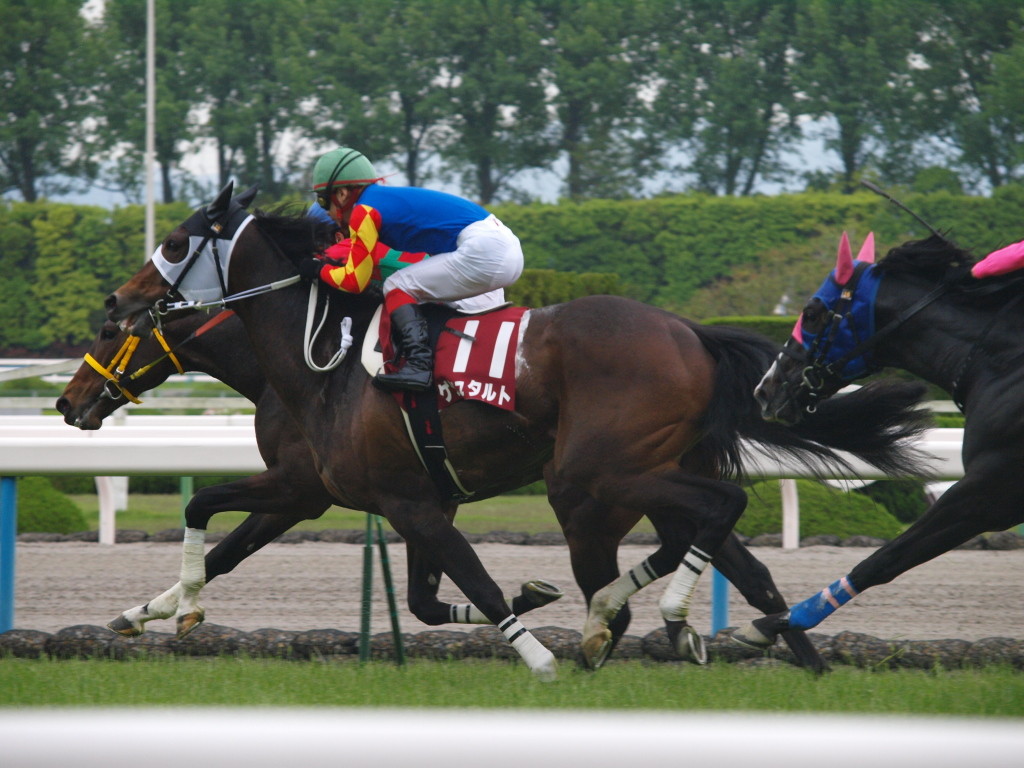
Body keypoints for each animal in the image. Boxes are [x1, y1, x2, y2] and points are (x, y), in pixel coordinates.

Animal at [101, 185, 929, 679]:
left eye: (174, 244)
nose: (116, 303)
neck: (323, 364)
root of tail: (691, 333)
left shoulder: (379, 497)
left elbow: (470, 581)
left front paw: (535, 652)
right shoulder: (396, 496)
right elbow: (426, 597)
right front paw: (150, 612)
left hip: (592, 475)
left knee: (714, 514)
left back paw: (638, 622)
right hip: (644, 470)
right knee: (731, 552)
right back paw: (776, 649)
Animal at [741, 230, 1019, 651]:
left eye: (812, 313)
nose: (763, 390)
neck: (1002, 359)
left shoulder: (989, 489)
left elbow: (884, 559)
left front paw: (779, 621)